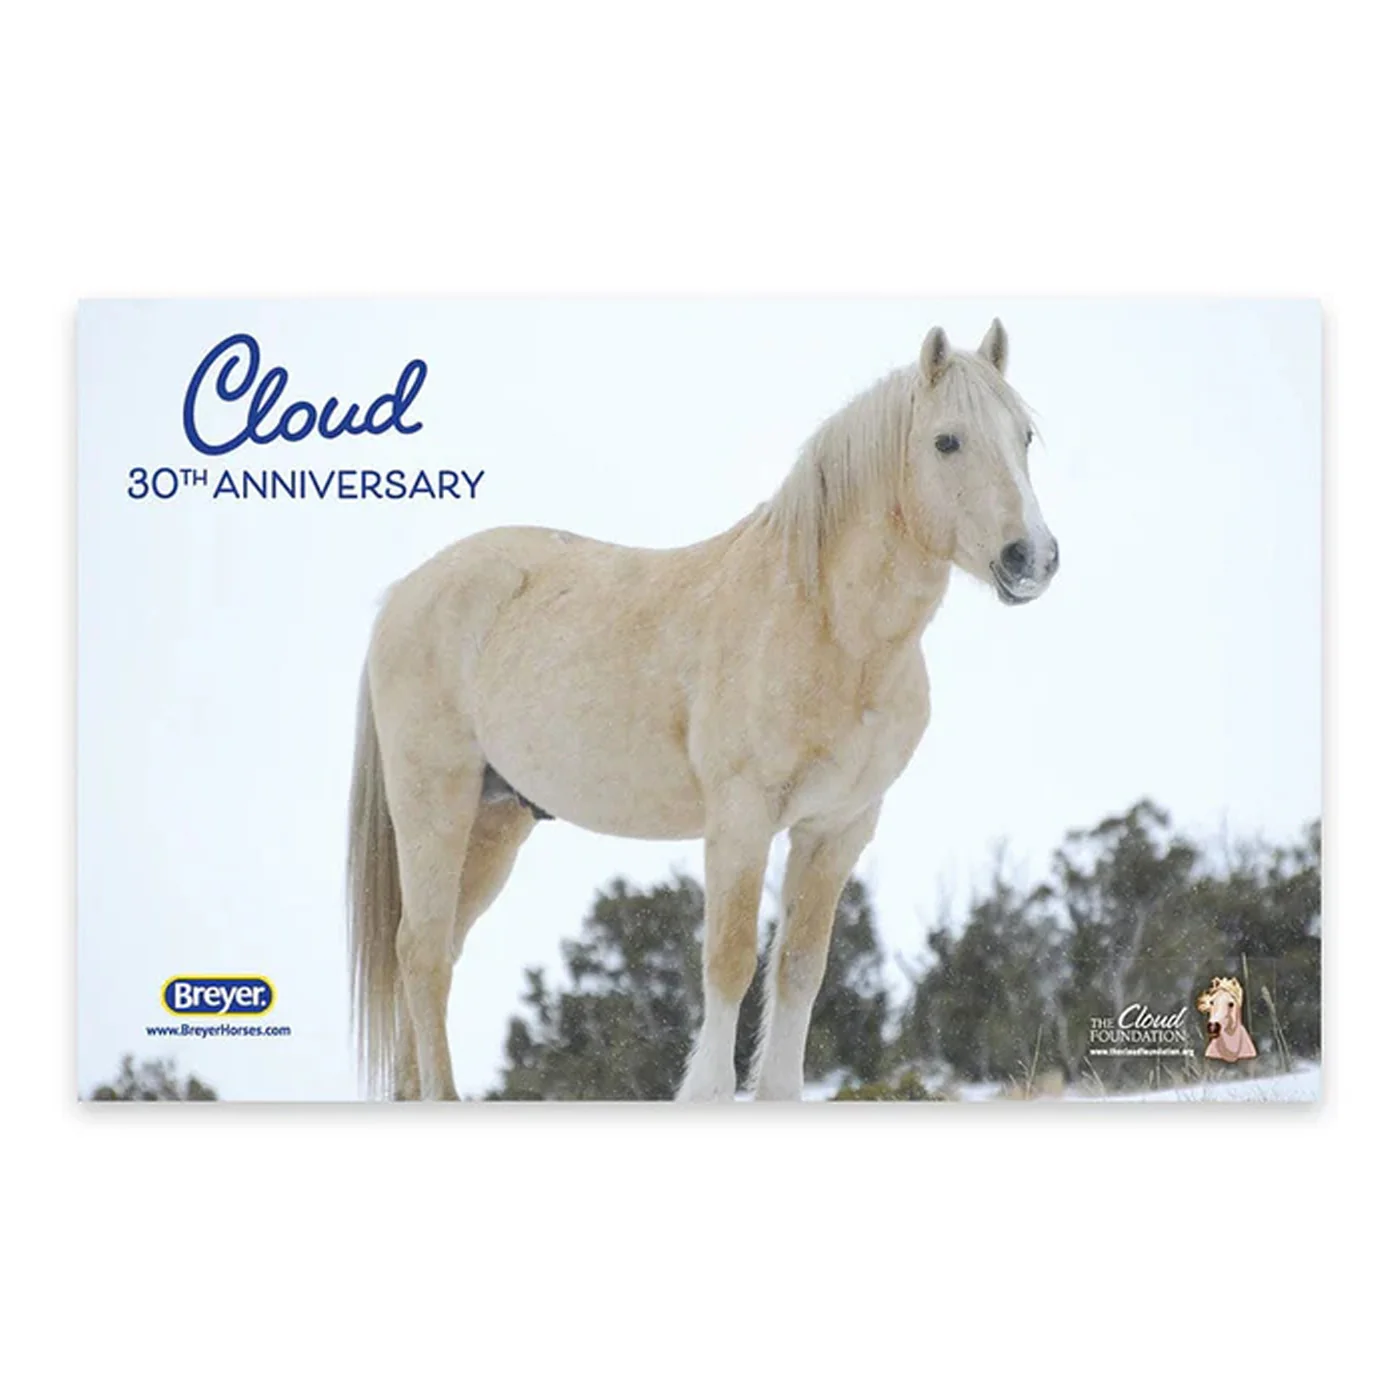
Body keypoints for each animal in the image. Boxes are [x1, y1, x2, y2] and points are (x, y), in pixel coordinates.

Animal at [347, 319, 1059, 1100]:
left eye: (1025, 436)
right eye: (946, 441)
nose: (1032, 558)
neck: (829, 631)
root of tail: (405, 593)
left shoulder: (838, 828)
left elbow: (800, 968)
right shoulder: (742, 819)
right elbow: (730, 961)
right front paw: (711, 1092)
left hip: (496, 820)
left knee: (432, 950)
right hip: (435, 805)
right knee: (422, 953)